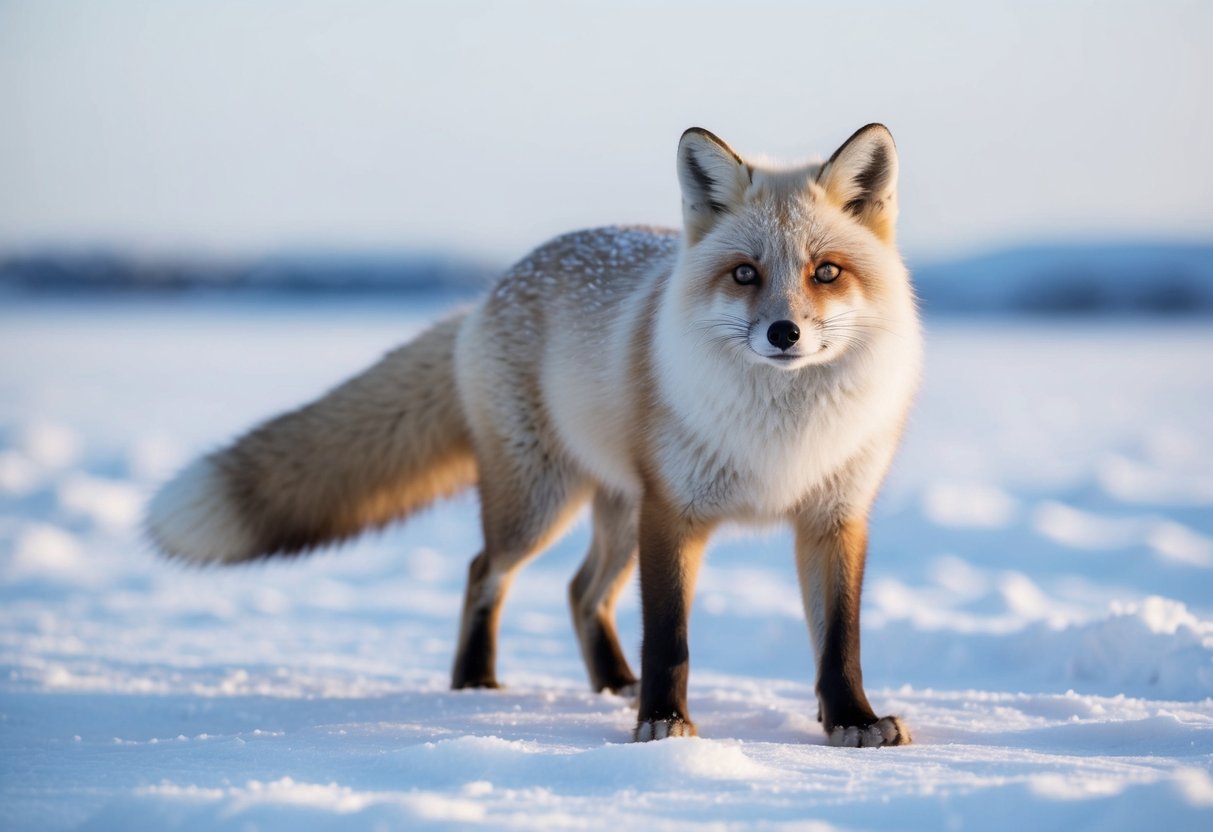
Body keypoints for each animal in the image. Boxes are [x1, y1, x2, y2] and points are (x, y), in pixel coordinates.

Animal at [146, 124, 923, 746]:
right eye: (744, 273)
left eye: (825, 271)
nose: (783, 333)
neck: (782, 431)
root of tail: (490, 291)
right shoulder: (674, 513)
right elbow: (670, 637)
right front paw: (663, 724)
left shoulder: (833, 516)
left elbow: (838, 642)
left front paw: (852, 720)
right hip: (541, 506)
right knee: (484, 572)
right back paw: (477, 683)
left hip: (617, 512)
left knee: (581, 592)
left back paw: (611, 683)